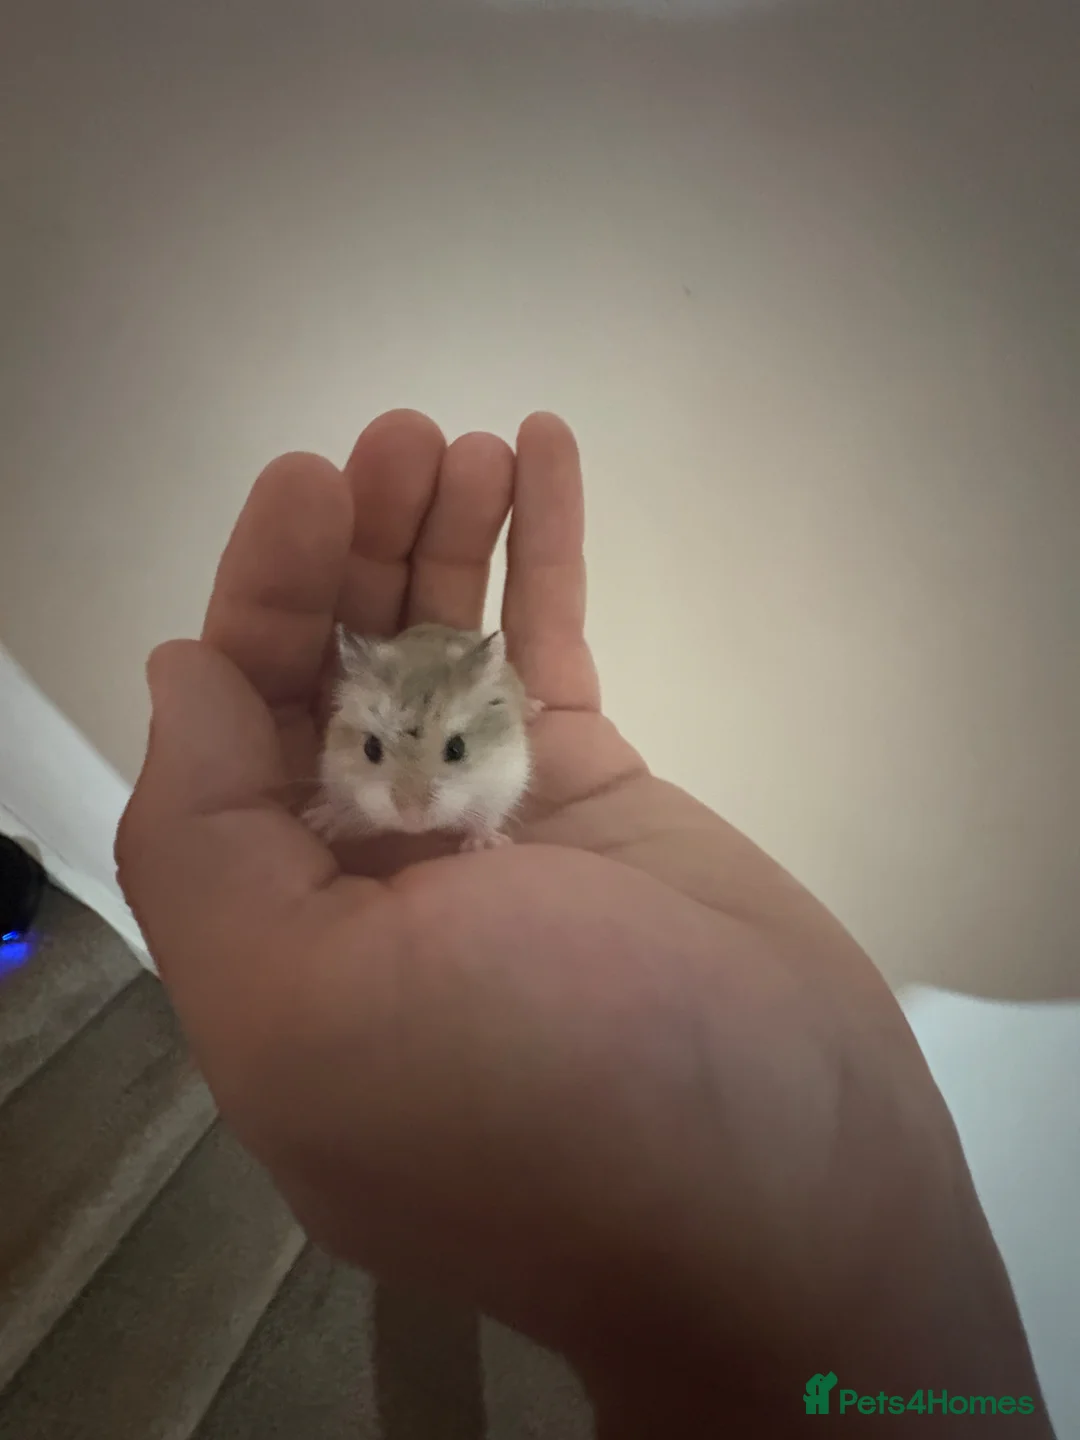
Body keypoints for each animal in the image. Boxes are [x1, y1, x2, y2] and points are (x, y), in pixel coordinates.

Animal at [307, 622, 542, 851]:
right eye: (370, 748)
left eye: (457, 748)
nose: (413, 819)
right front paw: (317, 821)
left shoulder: (505, 783)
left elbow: (485, 820)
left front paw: (484, 844)